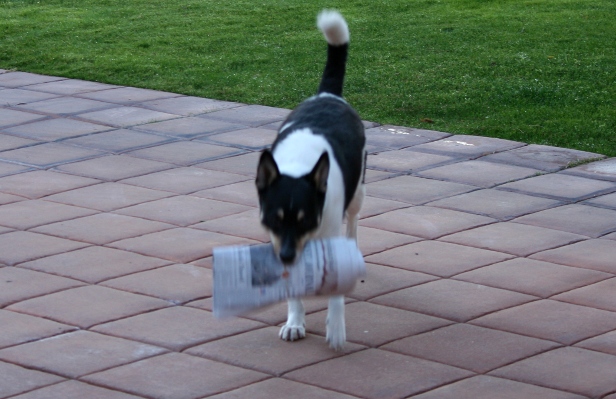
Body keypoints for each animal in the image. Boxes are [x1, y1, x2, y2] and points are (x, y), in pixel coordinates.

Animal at [255, 10, 366, 350]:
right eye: (275, 220)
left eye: (304, 220)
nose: (288, 256)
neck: (297, 165)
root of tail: (327, 95)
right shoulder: (278, 241)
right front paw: (295, 321)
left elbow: (336, 294)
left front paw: (336, 328)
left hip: (358, 196)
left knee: (353, 224)